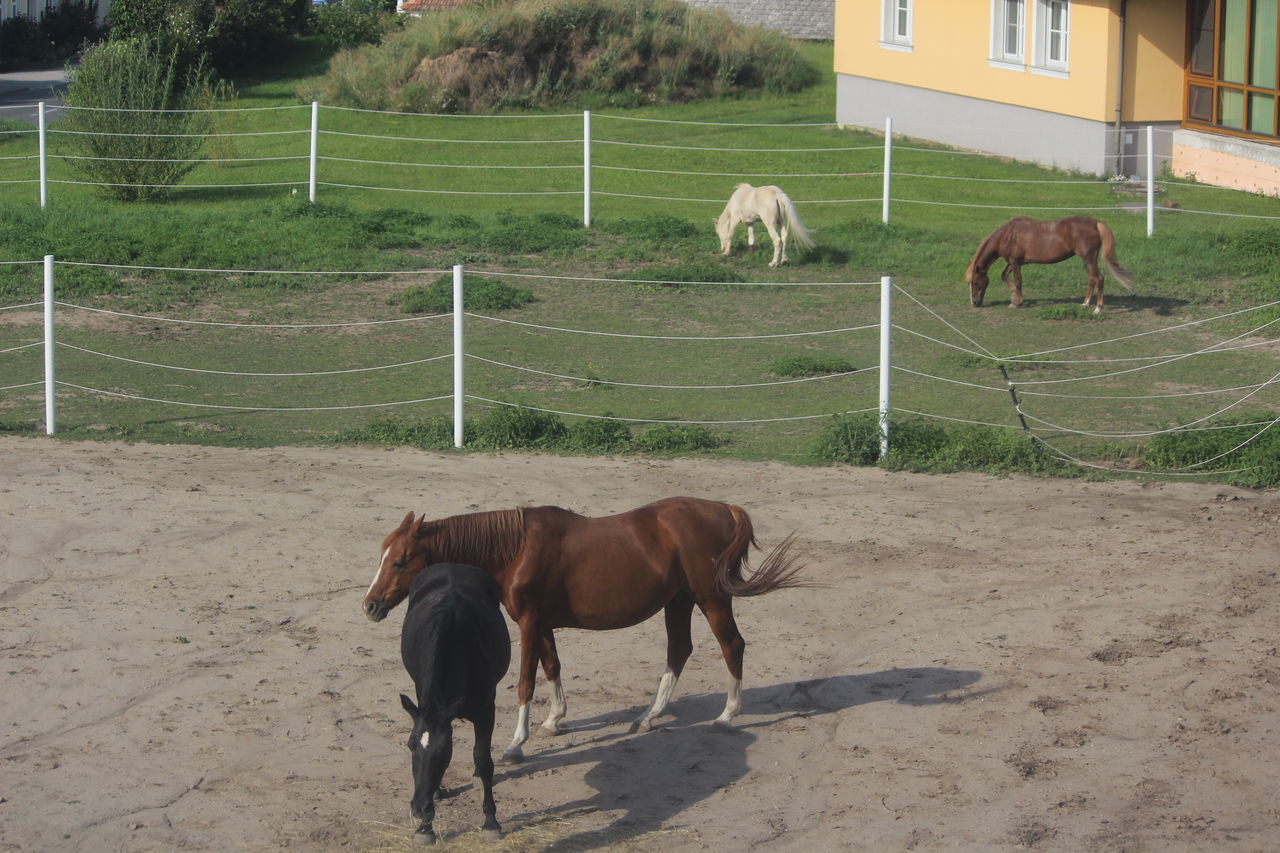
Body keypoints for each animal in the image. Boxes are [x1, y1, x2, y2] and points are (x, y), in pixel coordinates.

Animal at [360, 494, 803, 758]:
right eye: (383, 555)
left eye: (400, 560)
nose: (370, 605)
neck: (515, 548)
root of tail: (723, 508)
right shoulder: (541, 624)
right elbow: (552, 667)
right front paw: (554, 720)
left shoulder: (528, 624)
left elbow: (525, 682)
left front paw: (517, 742)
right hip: (678, 602)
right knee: (679, 652)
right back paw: (648, 716)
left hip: (711, 599)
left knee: (732, 645)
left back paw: (728, 714)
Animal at [396, 560, 506, 840]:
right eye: (411, 745)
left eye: (444, 749)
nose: (419, 808)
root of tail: (453, 564)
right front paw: (425, 828)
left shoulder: (486, 710)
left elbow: (483, 759)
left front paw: (491, 821)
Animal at [962, 213, 1136, 313]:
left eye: (976, 282)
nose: (974, 303)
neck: (1007, 235)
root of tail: (1096, 223)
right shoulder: (1013, 263)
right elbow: (1005, 276)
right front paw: (1014, 299)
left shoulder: (1015, 262)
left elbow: (1018, 281)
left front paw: (1017, 302)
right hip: (1087, 260)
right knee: (1092, 279)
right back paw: (1085, 304)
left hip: (1089, 258)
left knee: (1099, 279)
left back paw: (1098, 308)